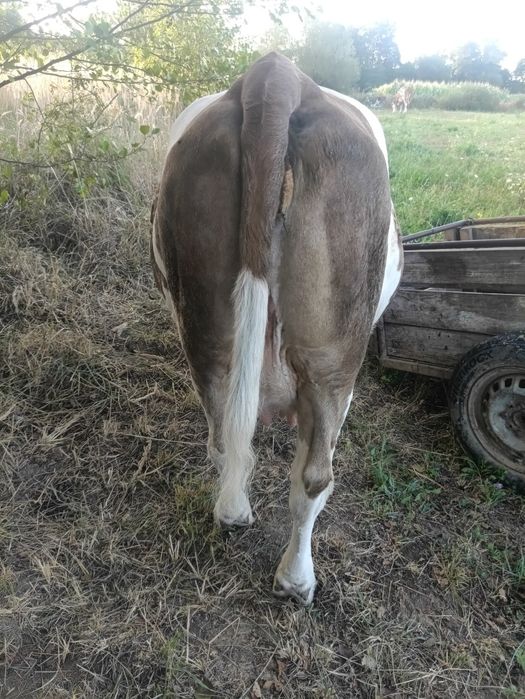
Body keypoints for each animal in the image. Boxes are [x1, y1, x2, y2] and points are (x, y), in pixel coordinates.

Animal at [151, 53, 403, 605]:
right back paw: (297, 579)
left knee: (225, 441)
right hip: (333, 361)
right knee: (313, 478)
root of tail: (276, 75)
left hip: (206, 333)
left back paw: (235, 514)